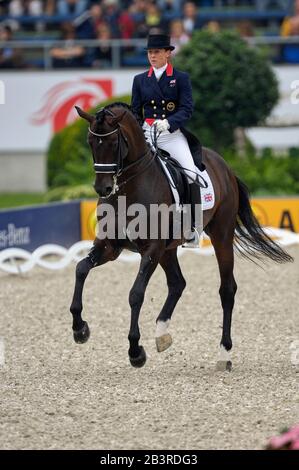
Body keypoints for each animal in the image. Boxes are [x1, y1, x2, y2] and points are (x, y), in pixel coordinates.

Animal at [70, 103, 292, 370]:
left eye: (114, 143)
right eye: (91, 142)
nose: (102, 188)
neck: (128, 189)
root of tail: (225, 167)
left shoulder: (151, 250)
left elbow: (136, 294)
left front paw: (135, 351)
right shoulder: (110, 246)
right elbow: (81, 269)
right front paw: (79, 329)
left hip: (221, 236)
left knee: (227, 289)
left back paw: (224, 354)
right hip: (168, 250)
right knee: (178, 283)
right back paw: (162, 334)